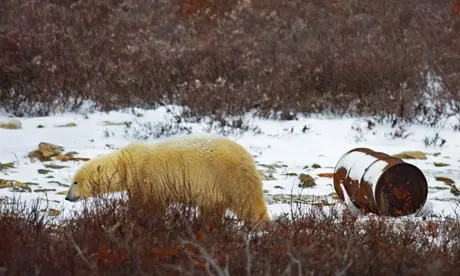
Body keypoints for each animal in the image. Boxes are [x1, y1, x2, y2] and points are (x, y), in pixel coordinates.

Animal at [66, 134, 272, 226]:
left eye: (75, 181)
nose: (68, 197)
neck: (127, 163)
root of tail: (248, 158)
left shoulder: (147, 177)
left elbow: (149, 204)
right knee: (212, 208)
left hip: (229, 177)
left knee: (248, 202)